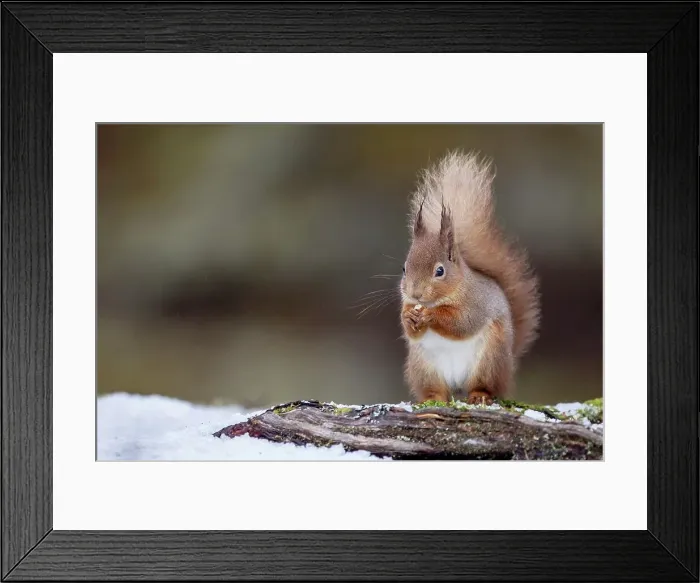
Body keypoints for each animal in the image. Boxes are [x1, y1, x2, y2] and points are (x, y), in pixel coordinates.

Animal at [399, 150, 541, 406]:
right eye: (404, 268)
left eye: (440, 271)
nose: (416, 293)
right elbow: (411, 331)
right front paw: (408, 317)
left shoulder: (477, 303)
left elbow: (462, 323)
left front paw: (431, 316)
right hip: (424, 367)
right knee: (438, 391)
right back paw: (431, 399)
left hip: (489, 361)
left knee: (485, 386)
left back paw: (479, 395)